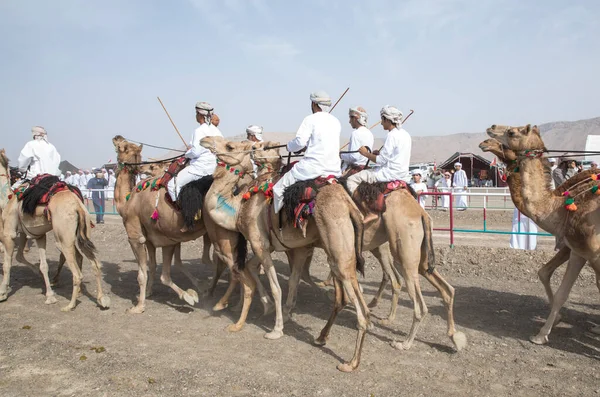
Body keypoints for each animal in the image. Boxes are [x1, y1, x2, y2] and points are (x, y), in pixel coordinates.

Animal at [0, 148, 109, 310]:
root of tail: (77, 205)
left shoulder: (9, 234)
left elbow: (8, 264)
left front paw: (2, 293)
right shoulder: (36, 235)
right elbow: (40, 263)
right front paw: (49, 295)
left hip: (62, 239)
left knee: (77, 272)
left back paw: (70, 305)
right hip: (82, 234)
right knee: (94, 264)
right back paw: (101, 299)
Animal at [111, 136, 217, 312]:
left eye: (120, 146)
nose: (116, 137)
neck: (127, 201)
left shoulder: (136, 237)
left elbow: (145, 273)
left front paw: (138, 306)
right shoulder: (160, 239)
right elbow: (158, 268)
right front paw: (149, 293)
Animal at [202, 137, 370, 372]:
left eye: (230, 146)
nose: (205, 140)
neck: (240, 206)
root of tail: (349, 204)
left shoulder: (260, 243)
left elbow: (276, 287)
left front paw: (276, 329)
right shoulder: (286, 247)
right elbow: (277, 276)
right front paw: (272, 308)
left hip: (339, 249)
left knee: (359, 302)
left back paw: (351, 362)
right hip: (335, 249)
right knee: (344, 296)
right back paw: (321, 337)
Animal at [486, 124, 600, 344]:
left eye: (511, 132)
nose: (489, 132)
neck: (560, 206)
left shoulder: (592, 254)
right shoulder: (578, 251)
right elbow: (556, 286)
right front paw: (544, 332)